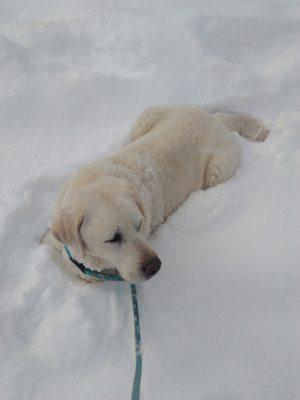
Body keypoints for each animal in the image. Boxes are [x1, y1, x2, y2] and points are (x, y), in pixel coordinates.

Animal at [44, 104, 270, 282]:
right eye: (113, 238)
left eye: (140, 225)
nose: (155, 266)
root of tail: (214, 118)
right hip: (146, 117)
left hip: (217, 169)